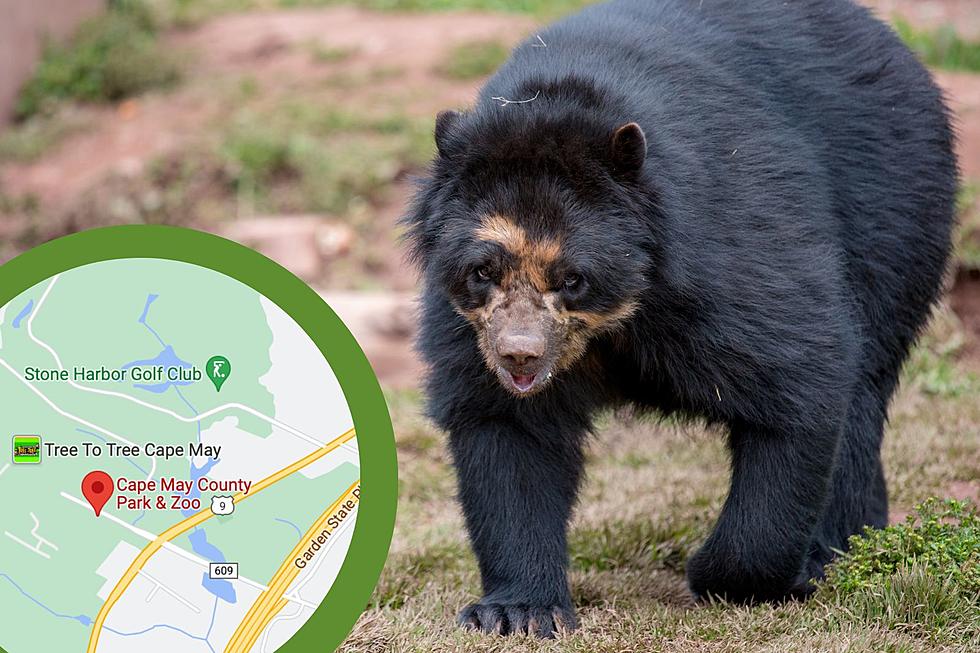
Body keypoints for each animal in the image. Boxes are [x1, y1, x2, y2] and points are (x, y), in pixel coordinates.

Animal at [404, 0, 956, 636]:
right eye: (483, 271)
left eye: (573, 278)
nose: (520, 354)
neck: (615, 321)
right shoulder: (464, 327)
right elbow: (507, 433)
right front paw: (515, 611)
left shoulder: (725, 259)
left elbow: (800, 378)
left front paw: (729, 575)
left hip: (895, 216)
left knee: (863, 392)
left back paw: (835, 550)